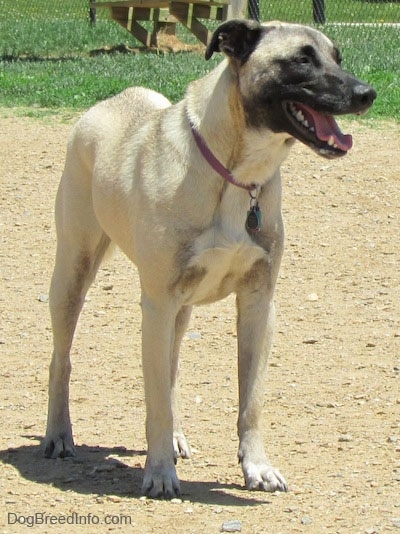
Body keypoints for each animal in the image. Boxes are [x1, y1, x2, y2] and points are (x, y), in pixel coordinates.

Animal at [43, 18, 376, 500]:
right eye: (301, 59)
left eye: (337, 57)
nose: (368, 93)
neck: (237, 174)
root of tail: (107, 103)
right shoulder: (157, 304)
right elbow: (156, 405)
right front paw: (159, 472)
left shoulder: (258, 303)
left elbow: (250, 401)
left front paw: (257, 467)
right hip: (74, 272)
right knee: (62, 360)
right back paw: (58, 434)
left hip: (178, 312)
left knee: (170, 375)